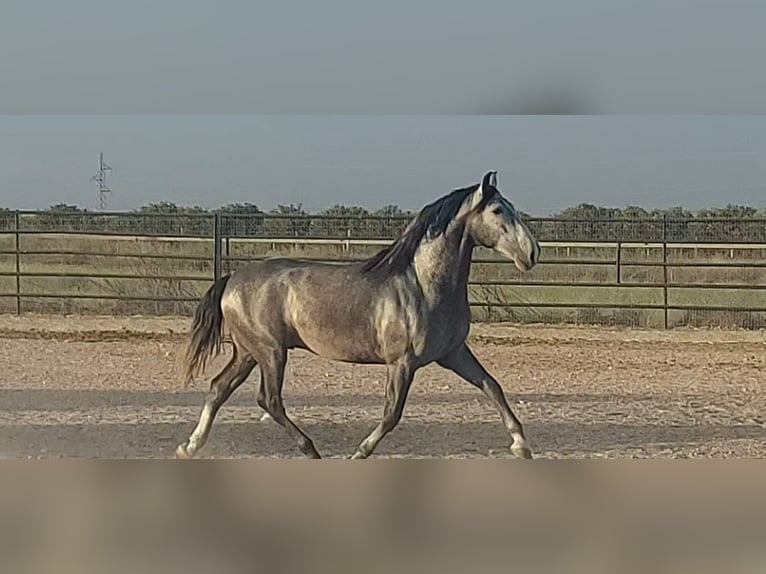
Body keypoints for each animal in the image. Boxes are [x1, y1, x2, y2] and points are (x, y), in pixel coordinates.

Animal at [177, 170, 544, 460]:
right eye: (497, 210)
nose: (532, 253)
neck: (423, 285)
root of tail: (232, 279)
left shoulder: (454, 353)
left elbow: (493, 387)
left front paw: (522, 446)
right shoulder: (402, 363)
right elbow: (392, 414)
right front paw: (359, 452)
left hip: (248, 352)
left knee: (219, 387)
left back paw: (189, 447)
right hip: (270, 351)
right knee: (269, 399)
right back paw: (311, 450)